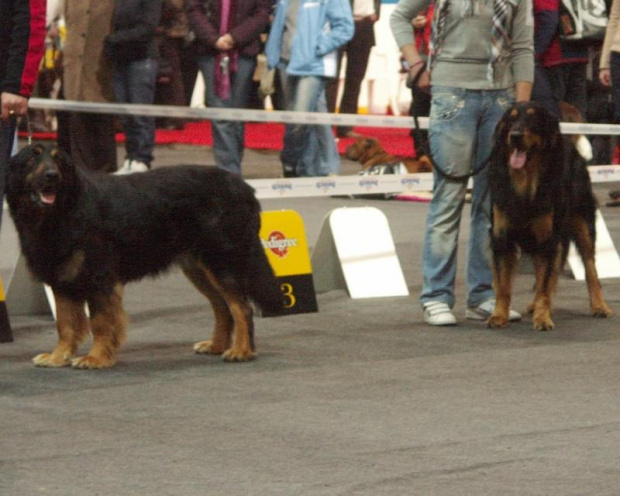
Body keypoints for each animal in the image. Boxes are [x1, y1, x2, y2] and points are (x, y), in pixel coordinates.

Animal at [6, 143, 282, 368]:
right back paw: (216, 345)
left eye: (59, 161)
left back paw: (241, 351)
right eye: (31, 160)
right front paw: (57, 356)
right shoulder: (62, 279)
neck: (62, 211)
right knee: (222, 307)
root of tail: (245, 187)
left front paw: (96, 358)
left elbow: (101, 322)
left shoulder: (100, 277)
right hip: (198, 267)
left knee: (241, 307)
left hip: (222, 261)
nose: (52, 176)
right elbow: (65, 324)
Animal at [484, 101, 612, 332]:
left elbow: (545, 284)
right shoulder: (501, 237)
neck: (525, 180)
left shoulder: (549, 238)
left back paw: (599, 305)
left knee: (590, 267)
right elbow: (503, 284)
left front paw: (543, 318)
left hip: (583, 223)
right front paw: (499, 316)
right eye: (511, 119)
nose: (515, 135)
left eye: (533, 119)